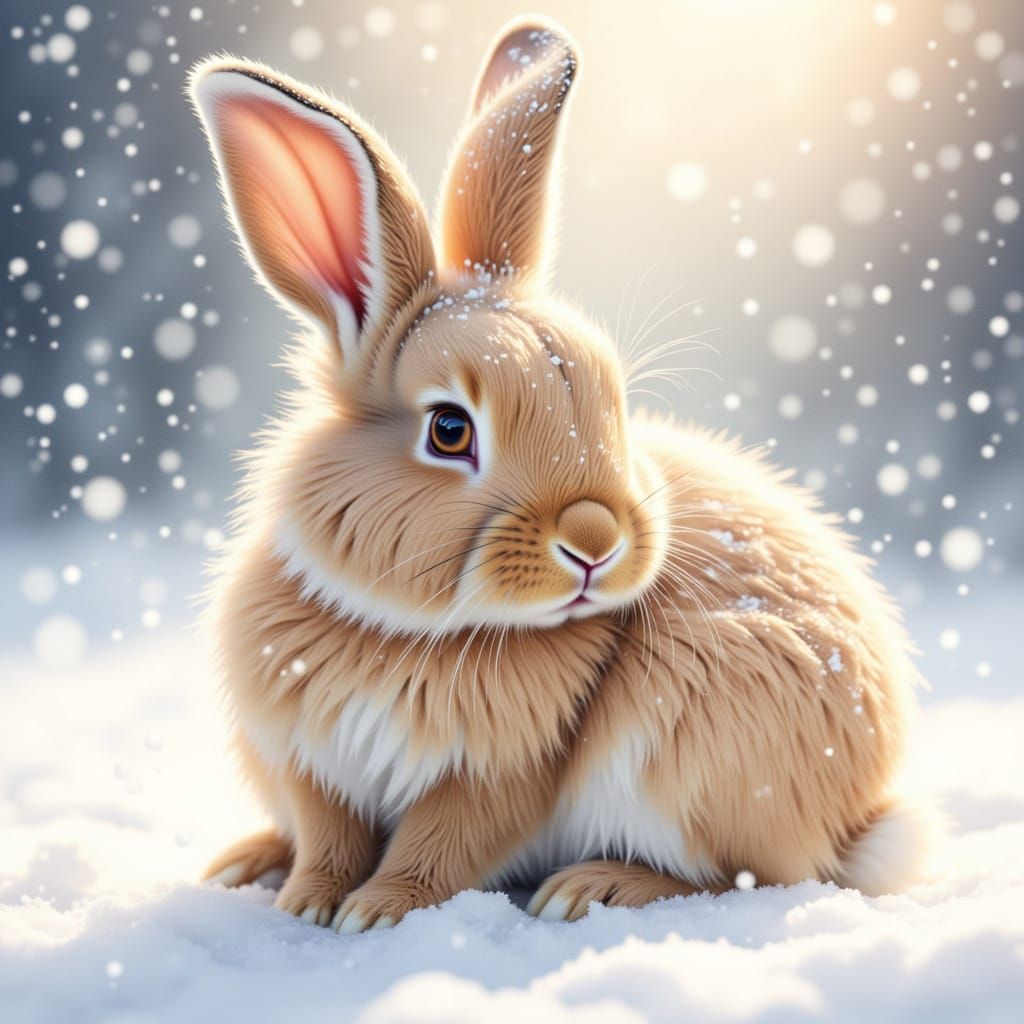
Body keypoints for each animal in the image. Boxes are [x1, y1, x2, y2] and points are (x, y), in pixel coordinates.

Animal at [190, 17, 935, 931]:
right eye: (449, 430)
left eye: (615, 402)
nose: (595, 538)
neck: (401, 630)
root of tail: (859, 819)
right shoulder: (309, 763)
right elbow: (328, 836)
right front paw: (305, 906)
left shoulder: (504, 773)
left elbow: (442, 844)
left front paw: (378, 913)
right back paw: (245, 861)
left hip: (688, 760)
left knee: (752, 876)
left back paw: (594, 887)